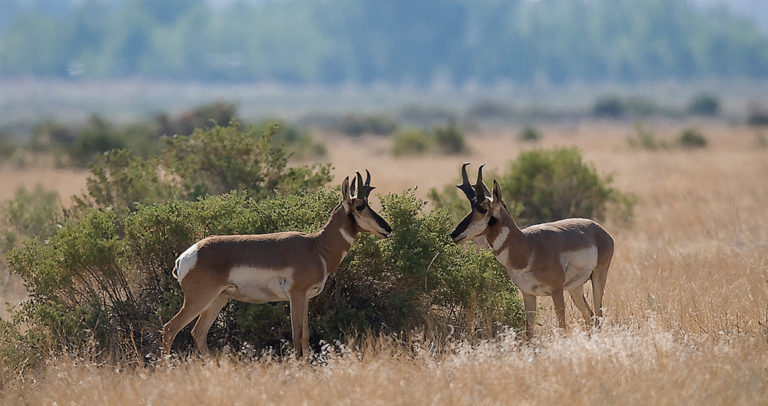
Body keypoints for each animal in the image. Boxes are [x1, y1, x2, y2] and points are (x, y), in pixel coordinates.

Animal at [162, 170, 390, 356]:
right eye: (360, 206)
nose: (388, 228)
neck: (316, 246)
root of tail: (186, 256)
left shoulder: (306, 299)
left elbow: (305, 335)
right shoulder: (296, 296)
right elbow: (296, 334)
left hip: (217, 300)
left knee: (198, 332)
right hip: (199, 300)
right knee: (170, 328)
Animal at [448, 163, 616, 338]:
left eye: (482, 209)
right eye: (471, 207)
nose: (454, 234)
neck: (527, 246)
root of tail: (600, 230)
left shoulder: (556, 291)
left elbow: (562, 327)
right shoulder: (528, 294)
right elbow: (529, 332)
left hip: (598, 277)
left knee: (598, 316)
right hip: (575, 288)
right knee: (590, 315)